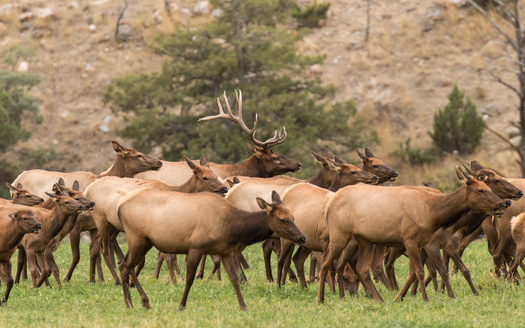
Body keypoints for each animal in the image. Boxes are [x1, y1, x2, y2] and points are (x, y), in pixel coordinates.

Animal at [85, 154, 226, 284]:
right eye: (205, 177)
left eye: (215, 174)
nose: (224, 188)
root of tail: (88, 189)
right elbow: (165, 257)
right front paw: (174, 282)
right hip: (101, 219)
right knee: (104, 250)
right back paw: (116, 280)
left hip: (110, 225)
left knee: (94, 248)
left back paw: (93, 279)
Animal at [114, 190, 302, 310]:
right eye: (282, 219)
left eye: (293, 217)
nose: (302, 237)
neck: (231, 227)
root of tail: (119, 208)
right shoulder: (196, 247)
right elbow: (190, 278)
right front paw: (181, 305)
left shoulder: (225, 251)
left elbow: (234, 278)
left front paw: (243, 306)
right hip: (137, 237)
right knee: (126, 265)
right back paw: (142, 301)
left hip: (145, 241)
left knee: (124, 265)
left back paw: (129, 304)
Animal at [318, 168, 506, 304]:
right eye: (481, 190)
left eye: (489, 188)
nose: (502, 203)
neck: (432, 213)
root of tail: (329, 203)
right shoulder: (410, 240)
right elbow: (421, 271)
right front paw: (425, 298)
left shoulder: (423, 242)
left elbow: (424, 271)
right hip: (340, 235)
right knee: (326, 263)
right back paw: (321, 299)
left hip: (365, 240)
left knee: (362, 269)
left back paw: (380, 299)